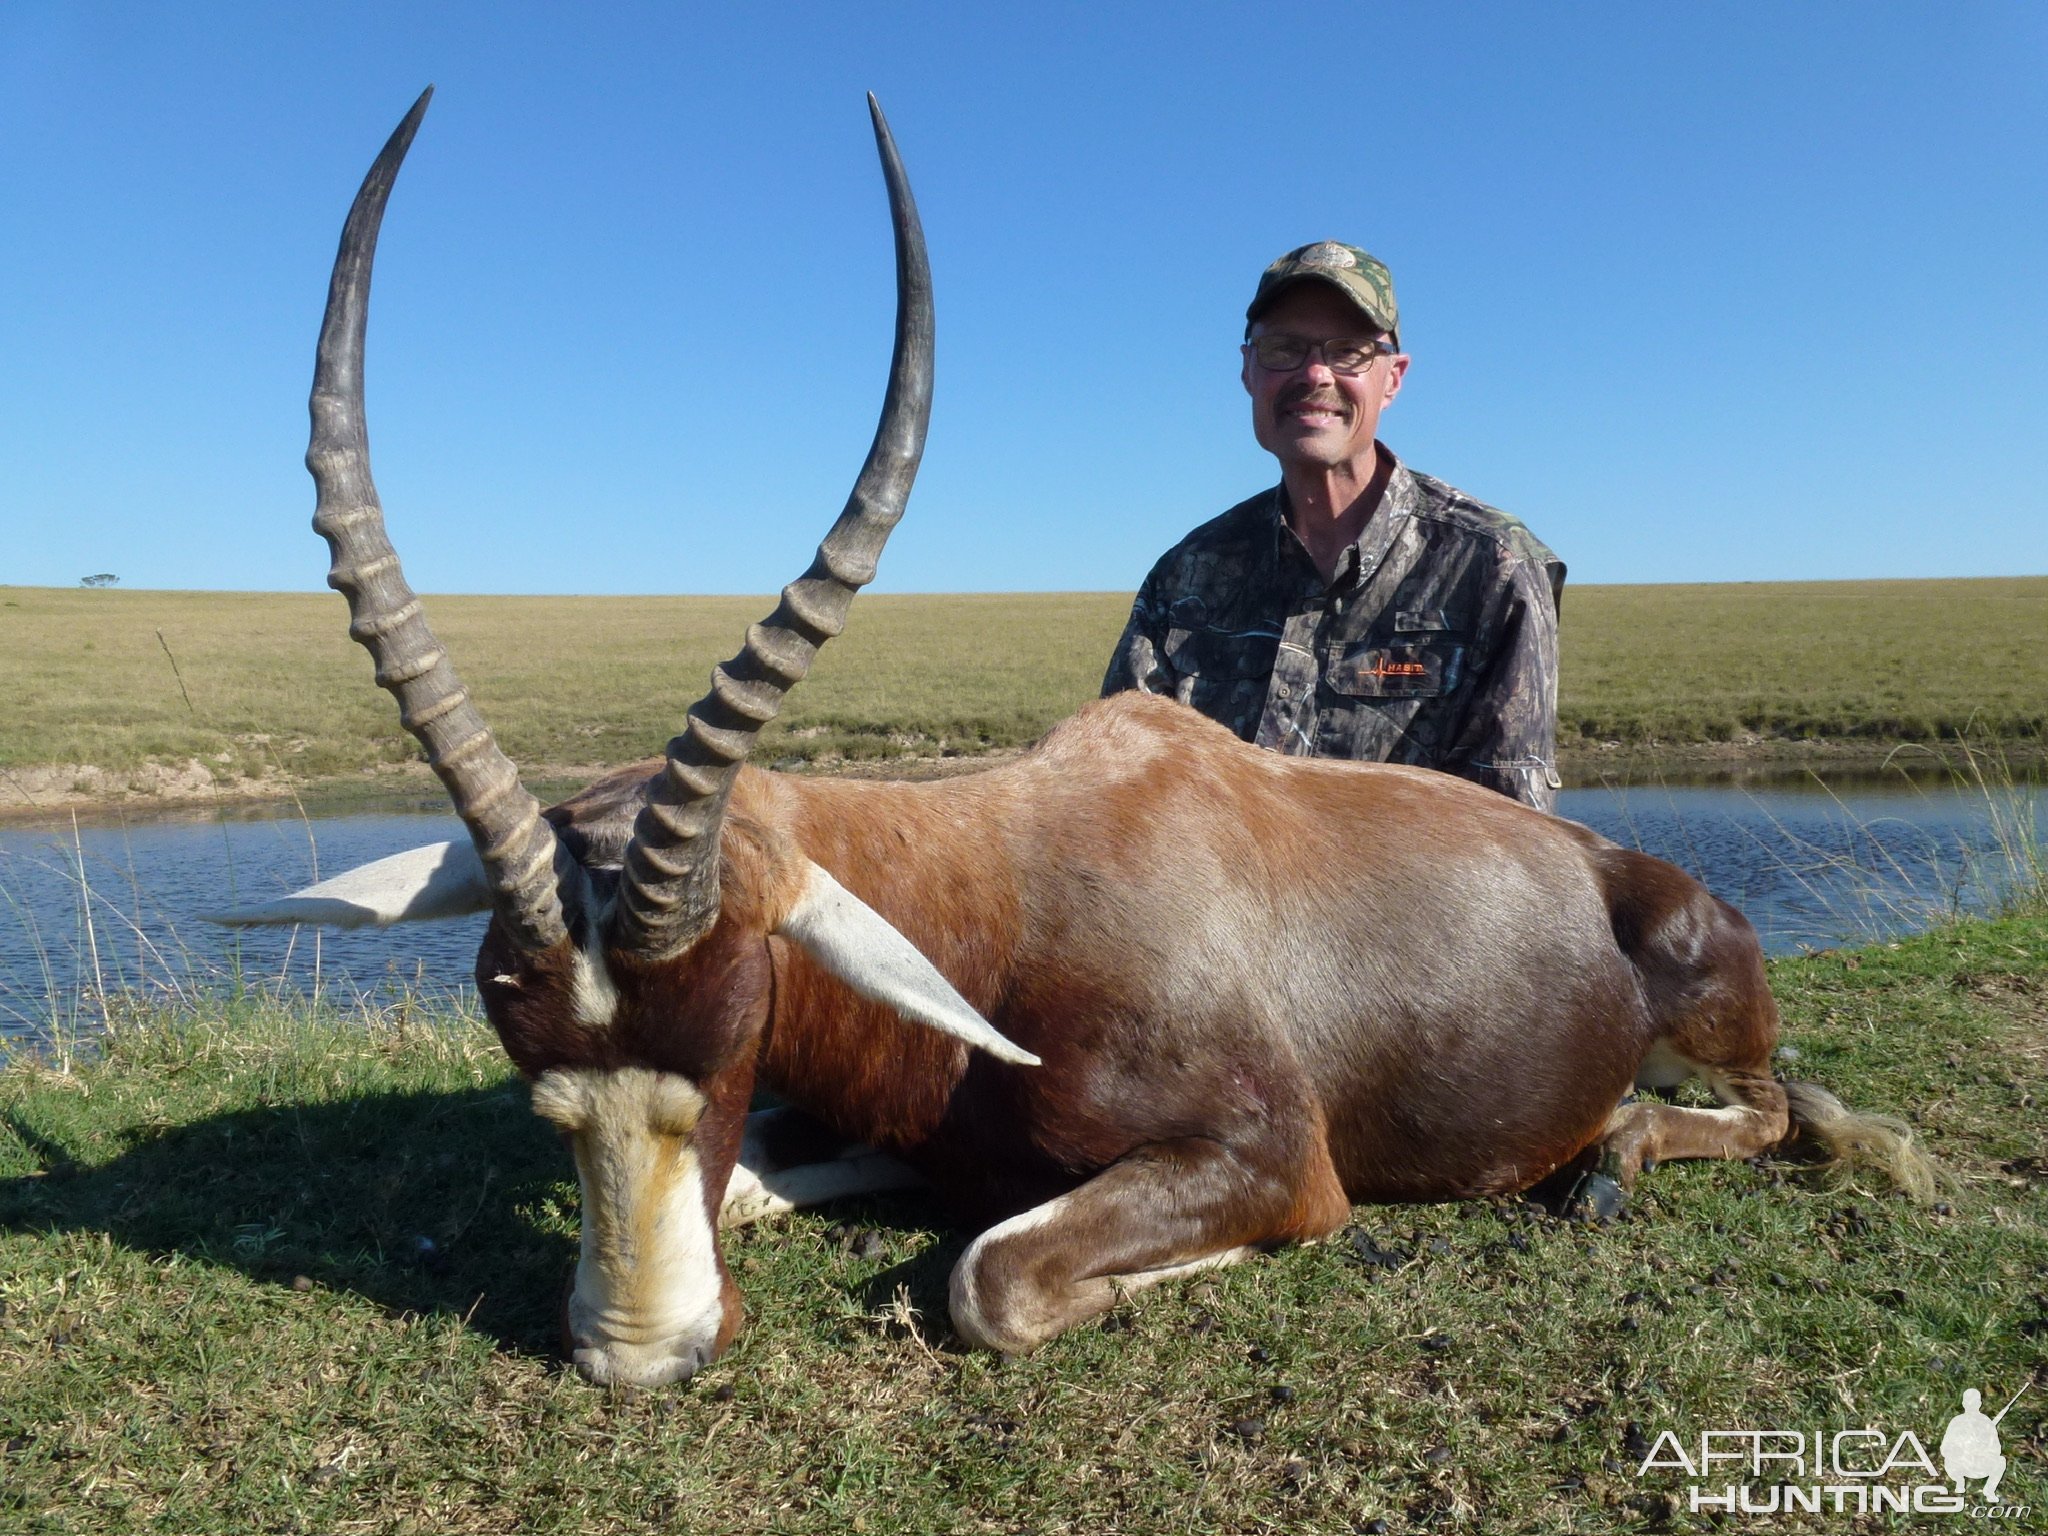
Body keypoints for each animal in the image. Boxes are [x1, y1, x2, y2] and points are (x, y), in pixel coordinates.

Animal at [216, 93, 1925, 1392]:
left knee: (1769, 1111)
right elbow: (769, 1194)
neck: (999, 893)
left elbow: (991, 1278)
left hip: (1710, 1020)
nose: (642, 1358)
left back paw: (1616, 1155)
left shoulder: (1269, 1156)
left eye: (735, 1020)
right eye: (534, 1068)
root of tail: (1615, 872)